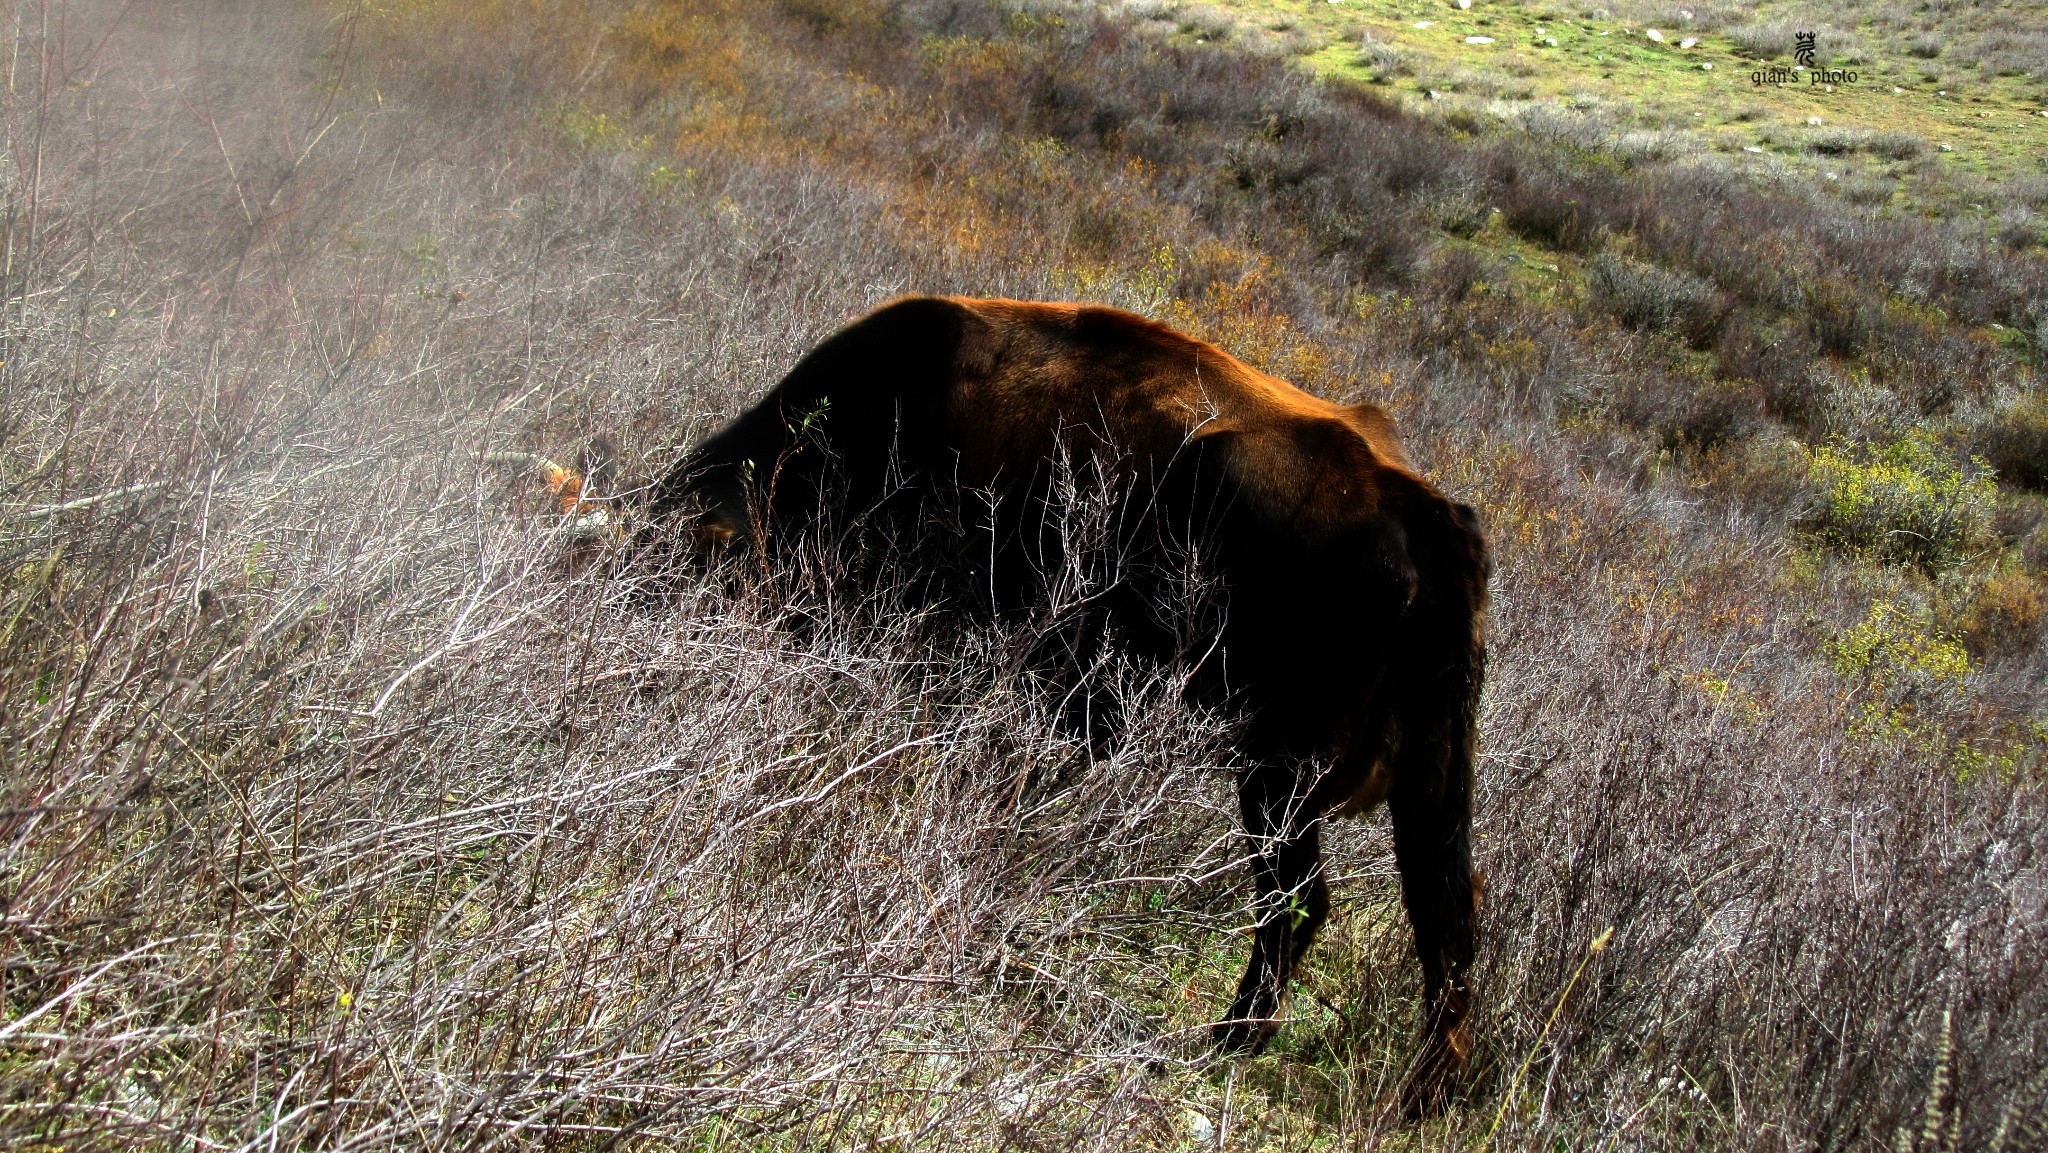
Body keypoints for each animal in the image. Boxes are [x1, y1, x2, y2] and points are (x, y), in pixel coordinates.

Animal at [651, 296, 1490, 1122]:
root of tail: (1420, 507)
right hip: (1421, 782)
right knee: (1444, 918)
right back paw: (1423, 1093)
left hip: (1279, 776)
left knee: (1299, 900)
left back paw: (1229, 1038)